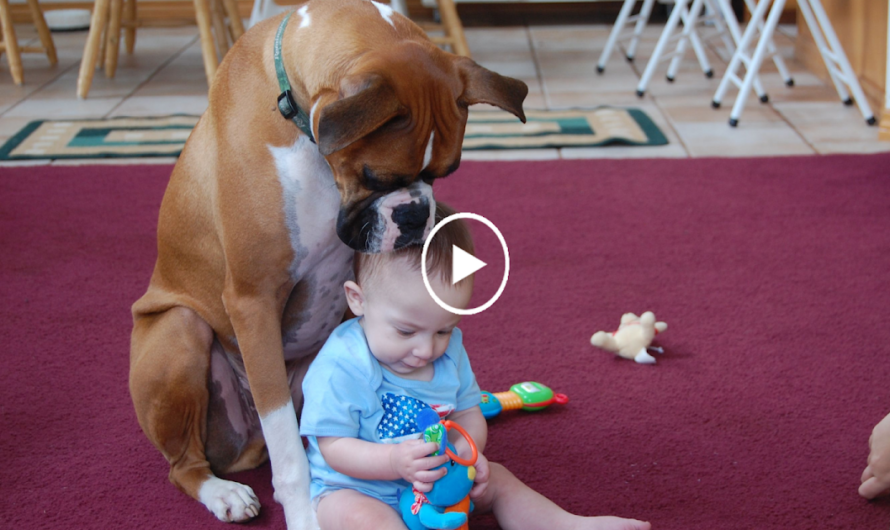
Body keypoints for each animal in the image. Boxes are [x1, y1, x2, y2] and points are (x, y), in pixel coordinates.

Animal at [128, 0, 524, 524]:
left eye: (445, 173)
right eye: (376, 176)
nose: (415, 214)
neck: (295, 112)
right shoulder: (253, 301)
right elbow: (291, 454)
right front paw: (304, 515)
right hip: (179, 329)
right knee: (185, 465)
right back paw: (221, 492)